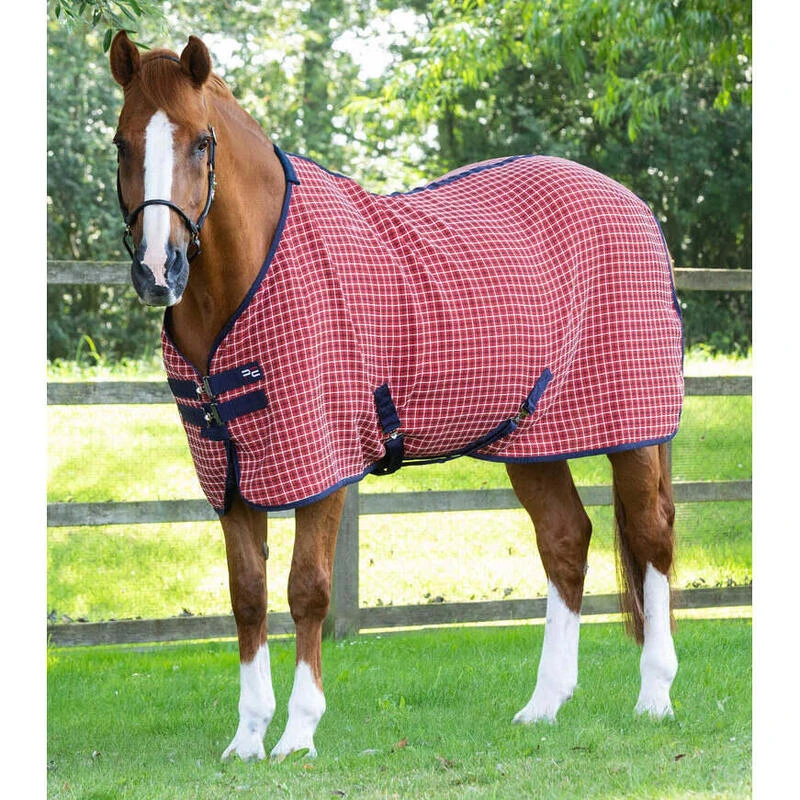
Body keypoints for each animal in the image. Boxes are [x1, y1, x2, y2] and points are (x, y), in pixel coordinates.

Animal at [109, 32, 683, 761]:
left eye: (201, 142)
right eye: (122, 144)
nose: (158, 271)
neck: (251, 274)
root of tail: (637, 207)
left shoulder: (322, 465)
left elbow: (307, 590)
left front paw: (298, 733)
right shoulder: (232, 473)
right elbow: (246, 595)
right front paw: (247, 738)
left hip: (632, 428)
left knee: (651, 536)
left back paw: (655, 696)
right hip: (533, 438)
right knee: (565, 540)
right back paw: (544, 704)